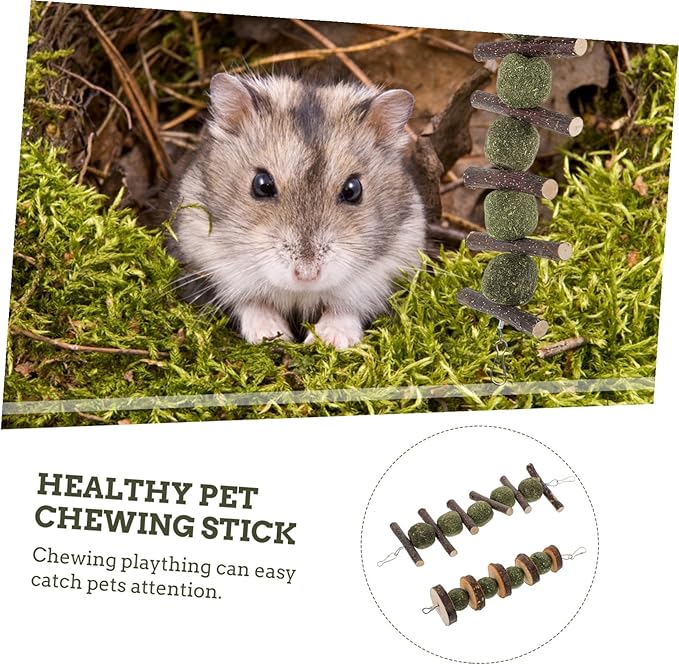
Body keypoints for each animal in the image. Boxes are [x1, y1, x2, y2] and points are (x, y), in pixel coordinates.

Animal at [165, 73, 426, 349]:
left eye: (353, 189)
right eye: (262, 184)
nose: (306, 275)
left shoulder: (389, 267)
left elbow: (346, 308)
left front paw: (329, 340)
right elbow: (250, 302)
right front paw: (271, 334)